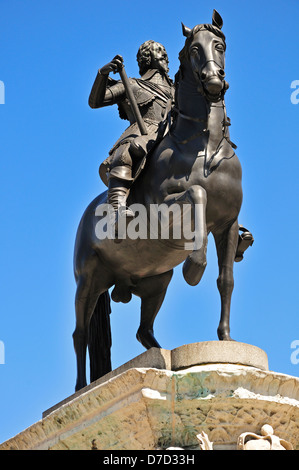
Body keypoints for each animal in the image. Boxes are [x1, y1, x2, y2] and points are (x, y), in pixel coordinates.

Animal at [74, 11, 245, 392]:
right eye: (193, 50)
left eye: (220, 46)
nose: (214, 80)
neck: (206, 147)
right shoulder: (163, 210)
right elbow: (196, 195)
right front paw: (194, 265)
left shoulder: (227, 224)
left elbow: (226, 280)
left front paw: (226, 338)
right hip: (88, 280)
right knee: (80, 334)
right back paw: (79, 388)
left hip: (156, 281)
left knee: (143, 330)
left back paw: (159, 354)